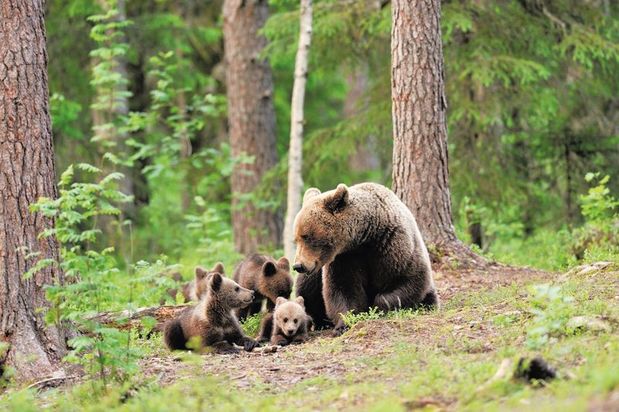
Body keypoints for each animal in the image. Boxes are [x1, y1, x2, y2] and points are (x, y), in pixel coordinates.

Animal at [294, 183, 438, 334]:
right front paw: (344, 324)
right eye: (296, 238)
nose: (298, 266)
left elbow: (408, 279)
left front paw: (378, 307)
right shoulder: (345, 258)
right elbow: (343, 288)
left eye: (306, 236)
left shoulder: (394, 244)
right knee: (307, 289)